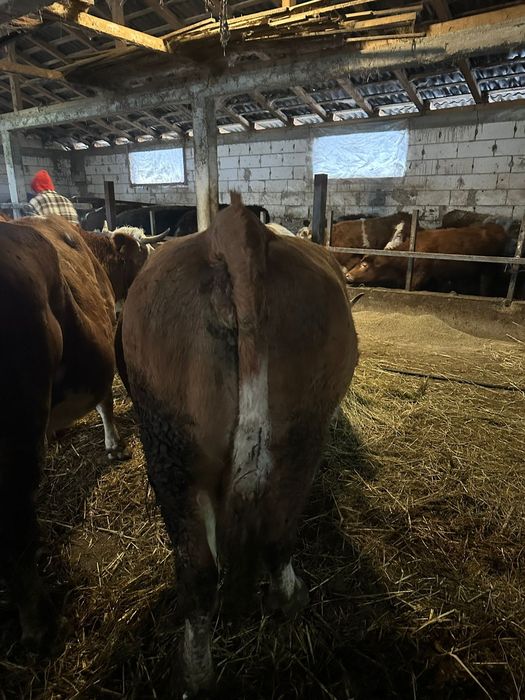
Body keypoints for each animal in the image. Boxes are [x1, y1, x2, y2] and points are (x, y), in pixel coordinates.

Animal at [117, 193, 358, 695]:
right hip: (302, 434)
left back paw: (195, 672)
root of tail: (234, 233)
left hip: (173, 448)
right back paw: (288, 601)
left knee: (201, 571)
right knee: (277, 536)